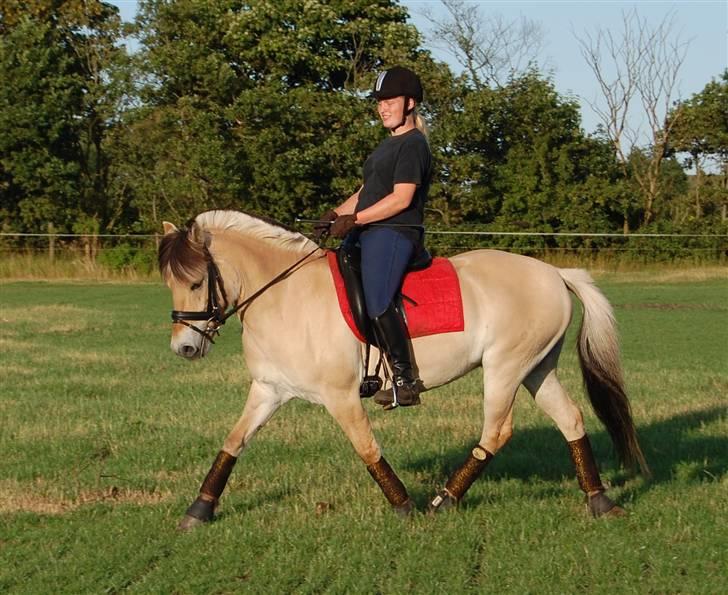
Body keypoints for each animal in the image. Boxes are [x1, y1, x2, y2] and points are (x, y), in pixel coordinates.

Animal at [158, 211, 648, 532]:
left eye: (197, 281)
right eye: (170, 283)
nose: (185, 348)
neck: (285, 294)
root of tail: (553, 273)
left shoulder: (340, 396)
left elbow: (367, 448)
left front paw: (404, 506)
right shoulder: (268, 389)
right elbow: (233, 443)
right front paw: (199, 511)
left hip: (505, 368)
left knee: (496, 431)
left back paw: (443, 501)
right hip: (536, 368)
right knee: (571, 419)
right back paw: (600, 501)